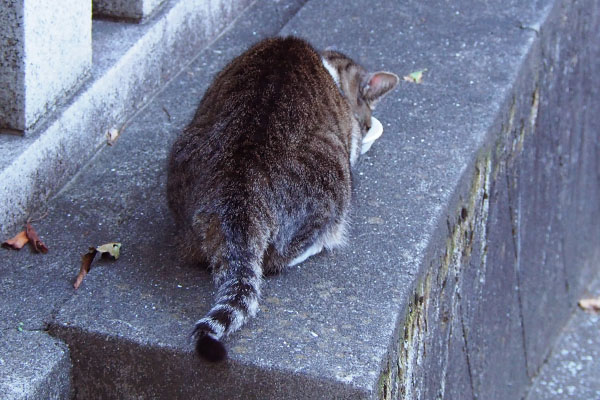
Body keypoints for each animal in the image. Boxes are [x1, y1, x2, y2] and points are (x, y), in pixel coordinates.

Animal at [166, 36, 398, 362]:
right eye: (364, 123)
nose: (366, 128)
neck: (332, 70)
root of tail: (240, 187)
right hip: (334, 182)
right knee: (281, 256)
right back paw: (319, 244)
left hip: (184, 147)